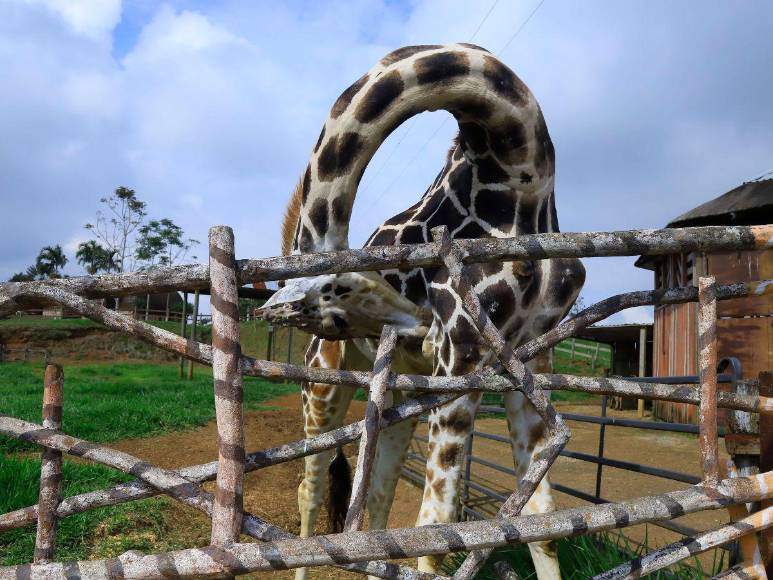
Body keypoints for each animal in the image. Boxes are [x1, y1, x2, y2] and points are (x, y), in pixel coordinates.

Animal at [261, 43, 585, 578]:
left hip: (399, 394)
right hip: (324, 382)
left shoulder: (530, 355)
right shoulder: (463, 354)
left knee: (376, 498)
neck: (519, 169)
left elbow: (544, 522)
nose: (421, 328)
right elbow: (436, 527)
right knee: (312, 487)